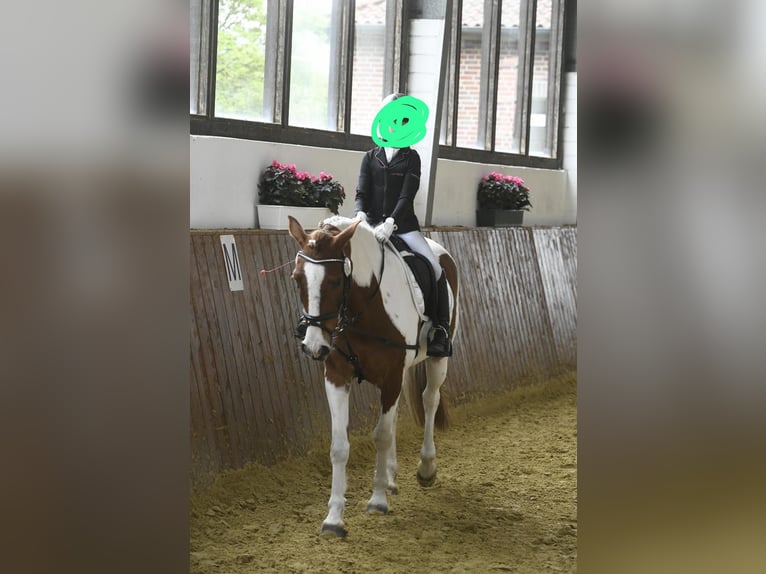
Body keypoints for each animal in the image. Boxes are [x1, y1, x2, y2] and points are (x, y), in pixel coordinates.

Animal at [287, 215, 460, 538]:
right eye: (297, 278)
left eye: (335, 280)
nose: (314, 346)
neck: (364, 307)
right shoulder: (337, 375)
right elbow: (339, 445)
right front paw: (334, 518)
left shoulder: (391, 376)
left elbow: (380, 435)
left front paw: (377, 500)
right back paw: (391, 477)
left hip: (437, 359)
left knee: (429, 400)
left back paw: (426, 468)